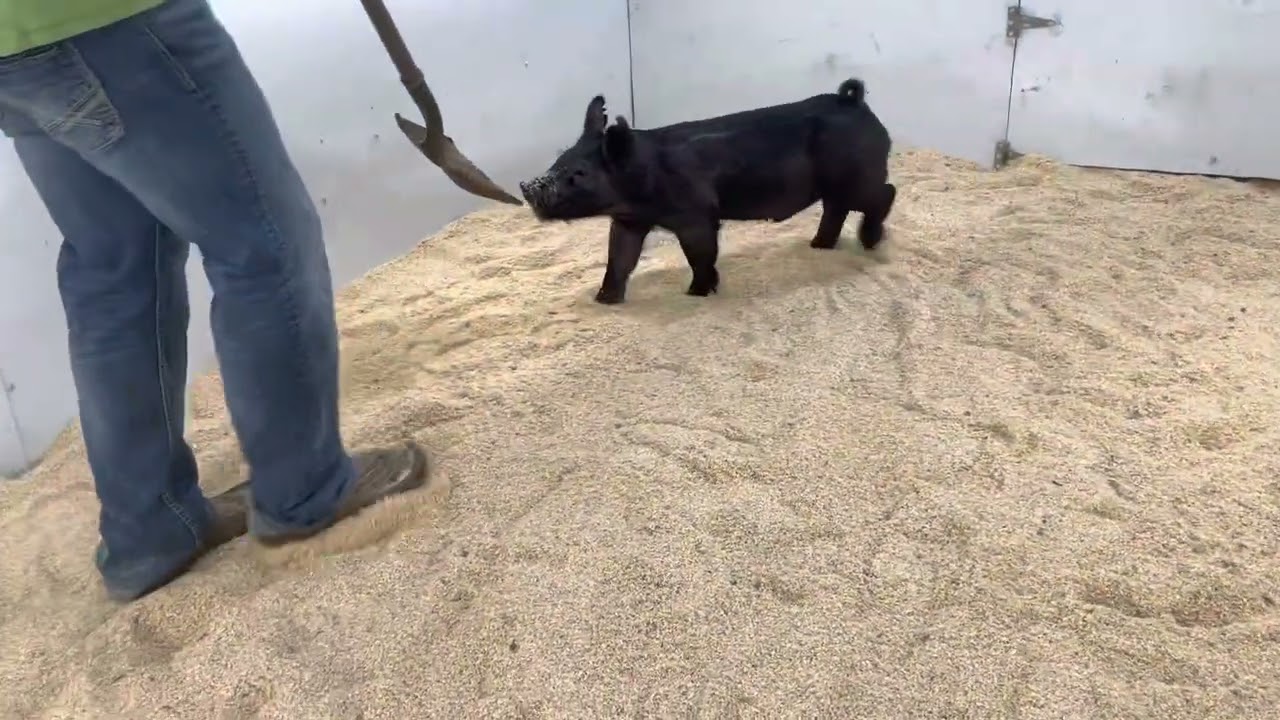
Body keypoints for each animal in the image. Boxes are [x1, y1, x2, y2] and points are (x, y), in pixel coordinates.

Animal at [518, 77, 897, 305]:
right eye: (559, 160)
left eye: (579, 173)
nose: (527, 186)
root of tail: (855, 102)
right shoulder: (628, 221)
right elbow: (619, 259)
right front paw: (604, 300)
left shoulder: (697, 215)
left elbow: (700, 255)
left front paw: (697, 294)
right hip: (836, 184)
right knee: (836, 207)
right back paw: (818, 245)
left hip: (857, 176)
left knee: (885, 193)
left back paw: (869, 241)